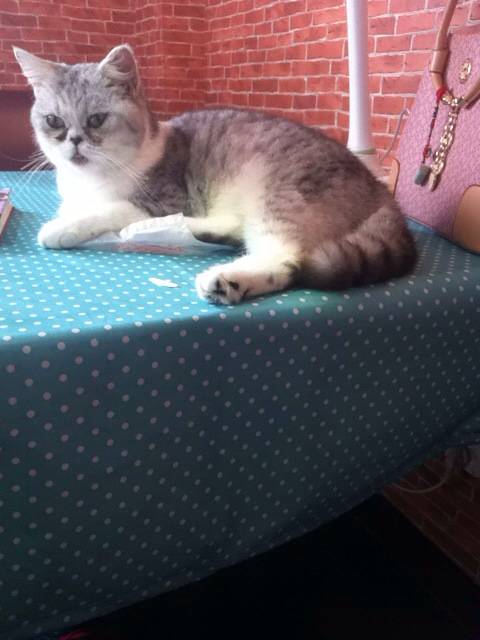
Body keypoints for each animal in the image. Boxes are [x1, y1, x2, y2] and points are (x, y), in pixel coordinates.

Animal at [14, 44, 417, 305]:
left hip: (279, 194)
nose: (74, 141)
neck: (91, 180)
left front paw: (61, 228)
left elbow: (104, 211)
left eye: (97, 119)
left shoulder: (159, 200)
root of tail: (380, 190)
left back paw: (226, 281)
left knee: (286, 259)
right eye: (54, 121)